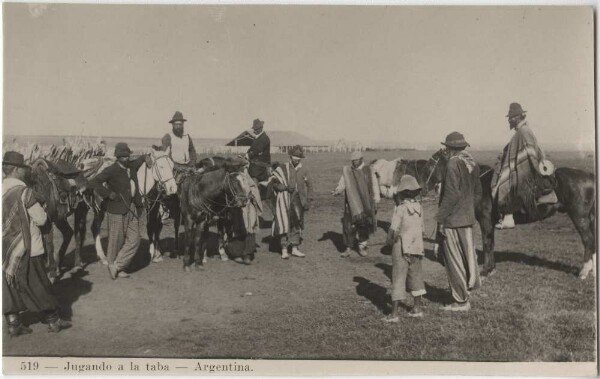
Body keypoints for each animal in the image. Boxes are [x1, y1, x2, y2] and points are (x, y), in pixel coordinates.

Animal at [432, 150, 596, 280]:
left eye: (433, 164)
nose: (436, 188)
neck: (479, 184)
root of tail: (590, 176)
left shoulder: (485, 221)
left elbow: (487, 243)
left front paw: (487, 270)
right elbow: (490, 243)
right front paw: (491, 268)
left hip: (579, 217)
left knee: (588, 240)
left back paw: (583, 272)